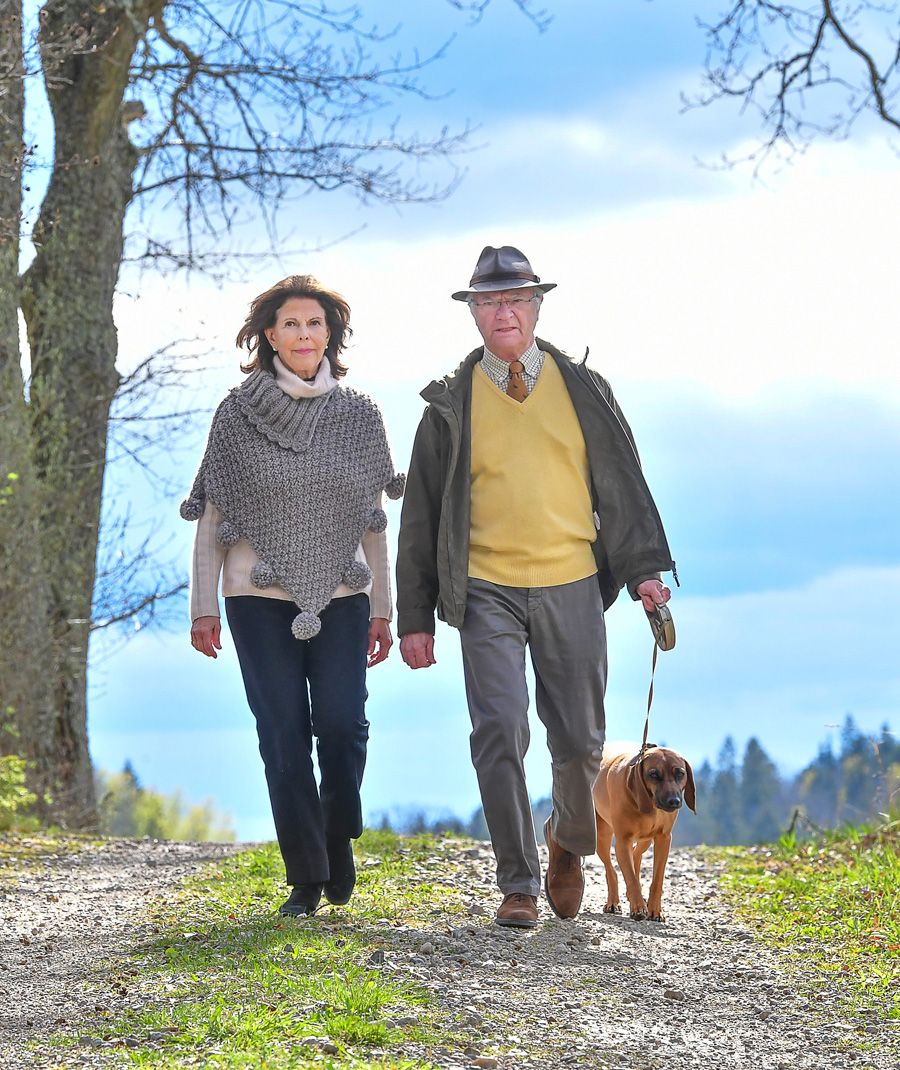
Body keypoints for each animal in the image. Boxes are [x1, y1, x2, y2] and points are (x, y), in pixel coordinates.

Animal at [595, 744, 697, 920]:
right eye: (654, 775)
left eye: (680, 774)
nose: (674, 801)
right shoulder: (623, 840)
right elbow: (630, 878)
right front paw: (638, 908)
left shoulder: (664, 839)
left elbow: (657, 880)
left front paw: (655, 910)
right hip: (601, 835)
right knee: (611, 869)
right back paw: (613, 902)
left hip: (646, 840)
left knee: (636, 854)